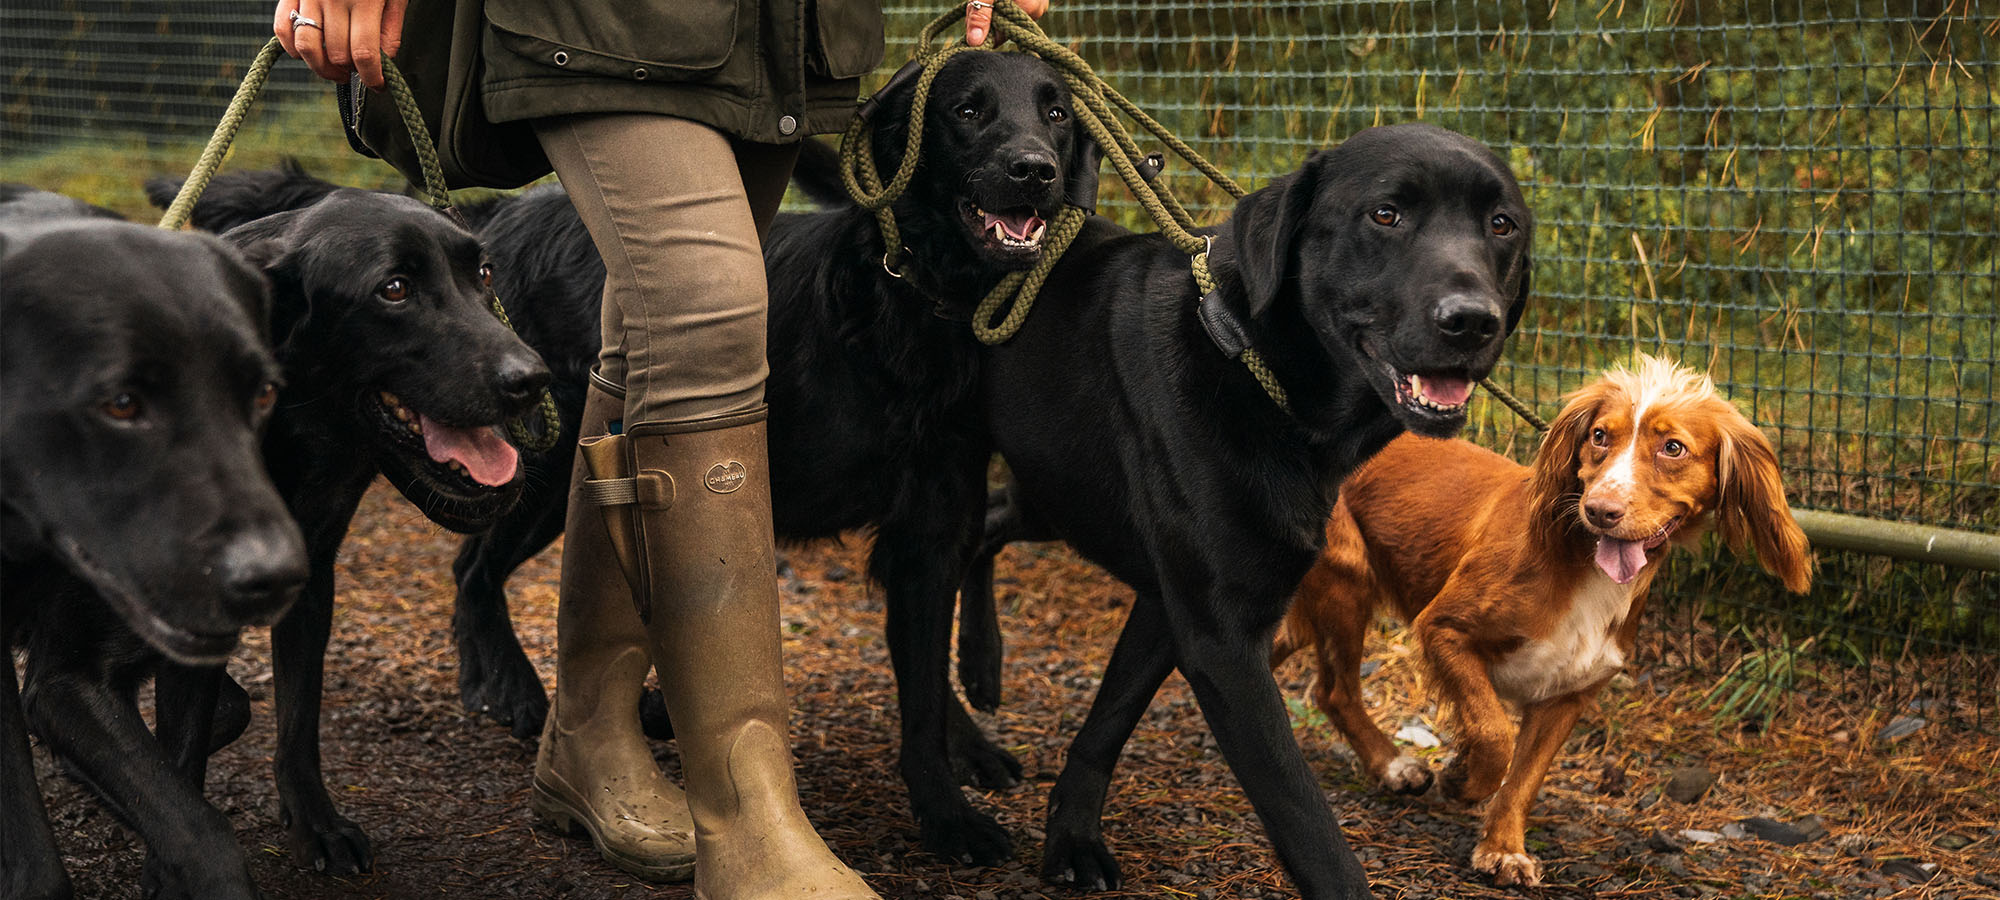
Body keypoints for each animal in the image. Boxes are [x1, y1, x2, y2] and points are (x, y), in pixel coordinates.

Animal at [129, 179, 552, 876]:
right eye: (395, 289)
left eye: (484, 273)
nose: (534, 379)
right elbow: (185, 751)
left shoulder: (313, 578)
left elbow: (297, 717)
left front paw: (316, 825)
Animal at [960, 123, 1520, 896]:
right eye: (1386, 215)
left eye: (1502, 225)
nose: (1471, 322)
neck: (1255, 371)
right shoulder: (1222, 642)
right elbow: (1308, 824)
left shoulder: (1172, 606)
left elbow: (1107, 721)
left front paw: (1070, 835)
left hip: (1056, 495)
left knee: (986, 526)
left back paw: (980, 665)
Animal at [1272, 354, 1824, 884]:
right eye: (1599, 436)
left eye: (1673, 448)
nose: (1601, 510)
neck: (1583, 565)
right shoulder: (1443, 629)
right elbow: (1494, 734)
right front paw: (1462, 778)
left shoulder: (1568, 692)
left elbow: (1523, 779)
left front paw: (1503, 849)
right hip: (1345, 579)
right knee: (1336, 691)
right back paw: (1393, 765)